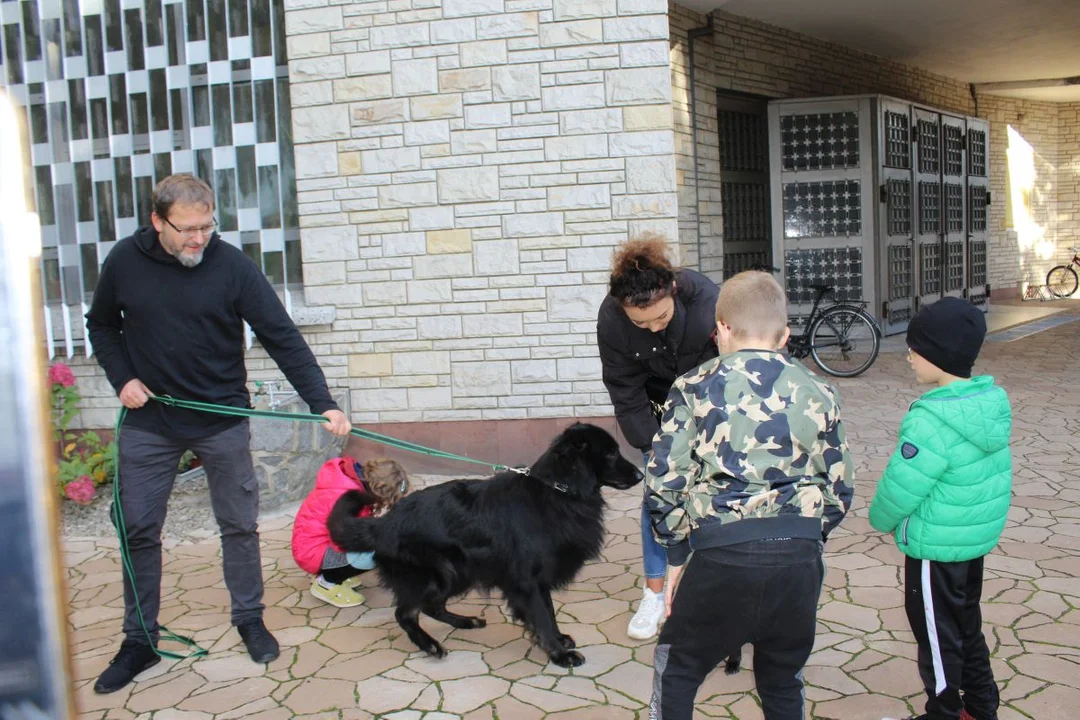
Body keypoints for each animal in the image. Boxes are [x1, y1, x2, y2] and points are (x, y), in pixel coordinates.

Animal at [324, 423, 635, 669]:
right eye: (610, 453)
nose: (640, 475)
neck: (557, 491)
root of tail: (385, 522)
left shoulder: (538, 580)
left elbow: (548, 612)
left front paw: (559, 640)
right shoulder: (526, 582)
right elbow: (541, 617)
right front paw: (559, 654)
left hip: (457, 574)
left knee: (432, 606)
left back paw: (465, 622)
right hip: (436, 574)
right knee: (406, 613)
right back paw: (430, 645)